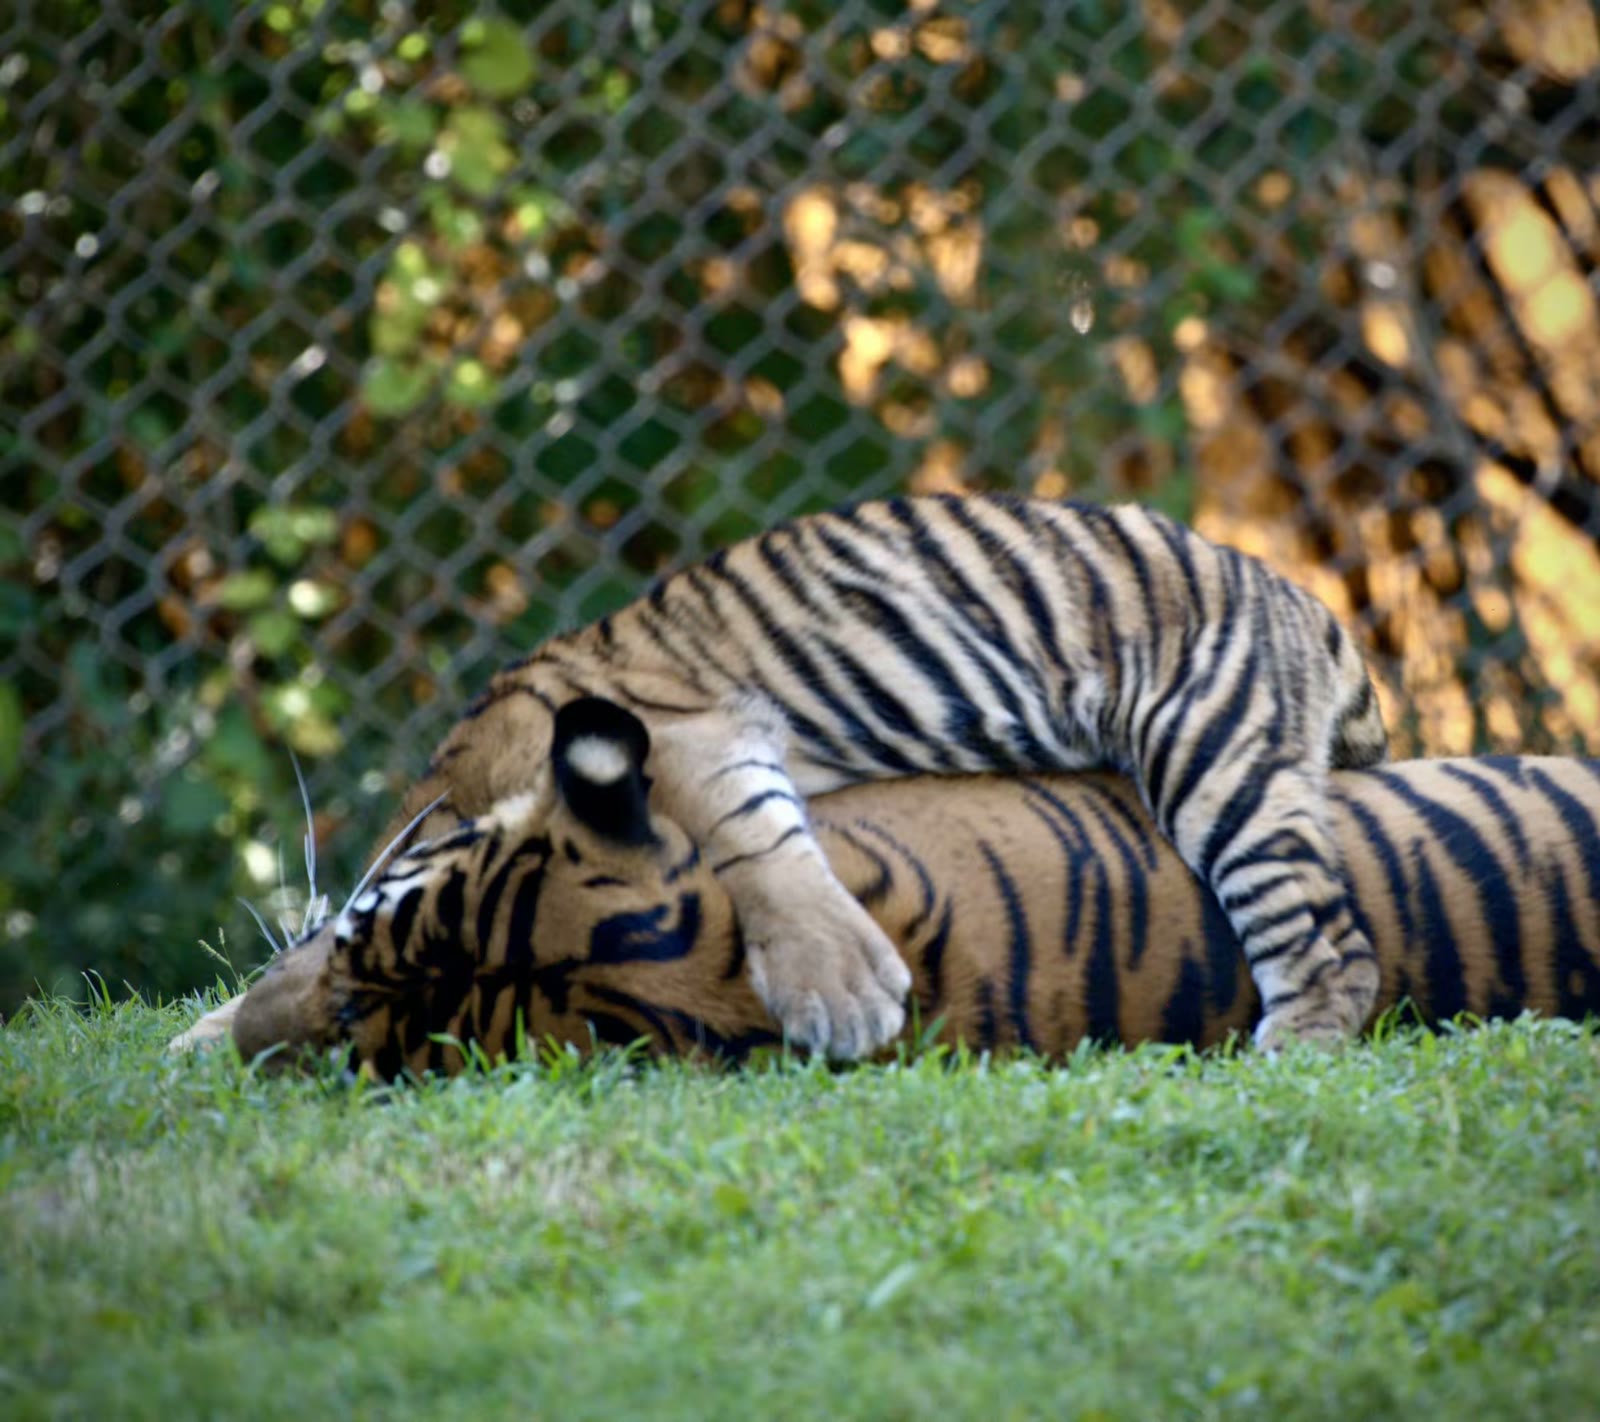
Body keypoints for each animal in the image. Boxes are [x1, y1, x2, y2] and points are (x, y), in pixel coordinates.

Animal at [376, 493, 1388, 1058]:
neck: (466, 777)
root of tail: (1309, 607)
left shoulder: (696, 734)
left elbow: (755, 846)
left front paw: (841, 998)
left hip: (1215, 755)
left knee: (1336, 947)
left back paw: (1291, 1051)